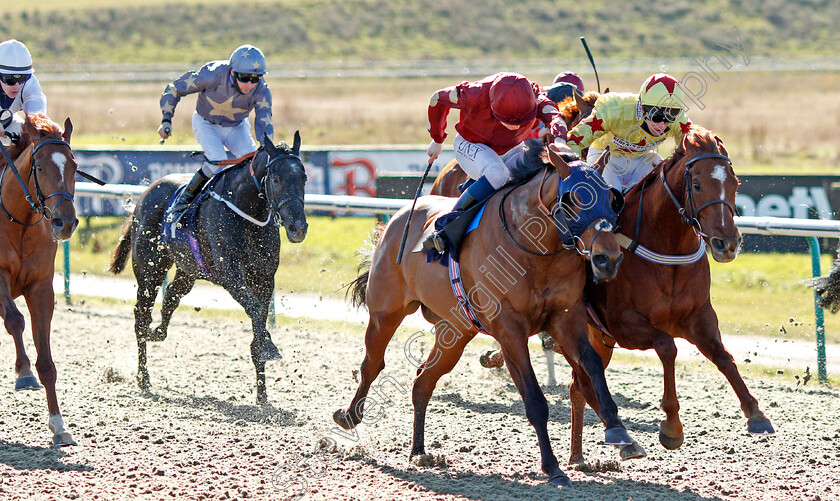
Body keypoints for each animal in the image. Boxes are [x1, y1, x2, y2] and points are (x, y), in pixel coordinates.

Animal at [109, 132, 308, 402]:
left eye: (304, 178)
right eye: (276, 179)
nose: (298, 228)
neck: (246, 212)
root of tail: (144, 196)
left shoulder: (264, 277)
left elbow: (259, 317)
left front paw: (262, 395)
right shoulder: (231, 275)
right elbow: (255, 310)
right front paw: (269, 347)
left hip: (187, 271)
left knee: (171, 296)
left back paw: (157, 332)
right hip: (150, 269)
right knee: (141, 316)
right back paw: (143, 377)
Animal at [332, 139, 632, 486]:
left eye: (611, 198)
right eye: (574, 198)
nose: (608, 258)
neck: (536, 249)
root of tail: (399, 215)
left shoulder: (565, 318)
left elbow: (592, 366)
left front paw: (620, 432)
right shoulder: (509, 329)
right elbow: (534, 398)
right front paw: (552, 467)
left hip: (455, 331)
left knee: (423, 380)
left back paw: (419, 450)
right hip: (385, 312)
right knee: (372, 364)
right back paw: (349, 416)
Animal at [572, 127, 776, 462]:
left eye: (735, 184)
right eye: (696, 184)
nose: (727, 243)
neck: (667, 248)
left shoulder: (700, 317)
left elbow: (724, 357)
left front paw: (756, 414)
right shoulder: (623, 324)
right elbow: (667, 347)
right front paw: (671, 426)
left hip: (599, 339)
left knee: (579, 385)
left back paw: (578, 456)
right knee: (585, 383)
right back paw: (617, 442)